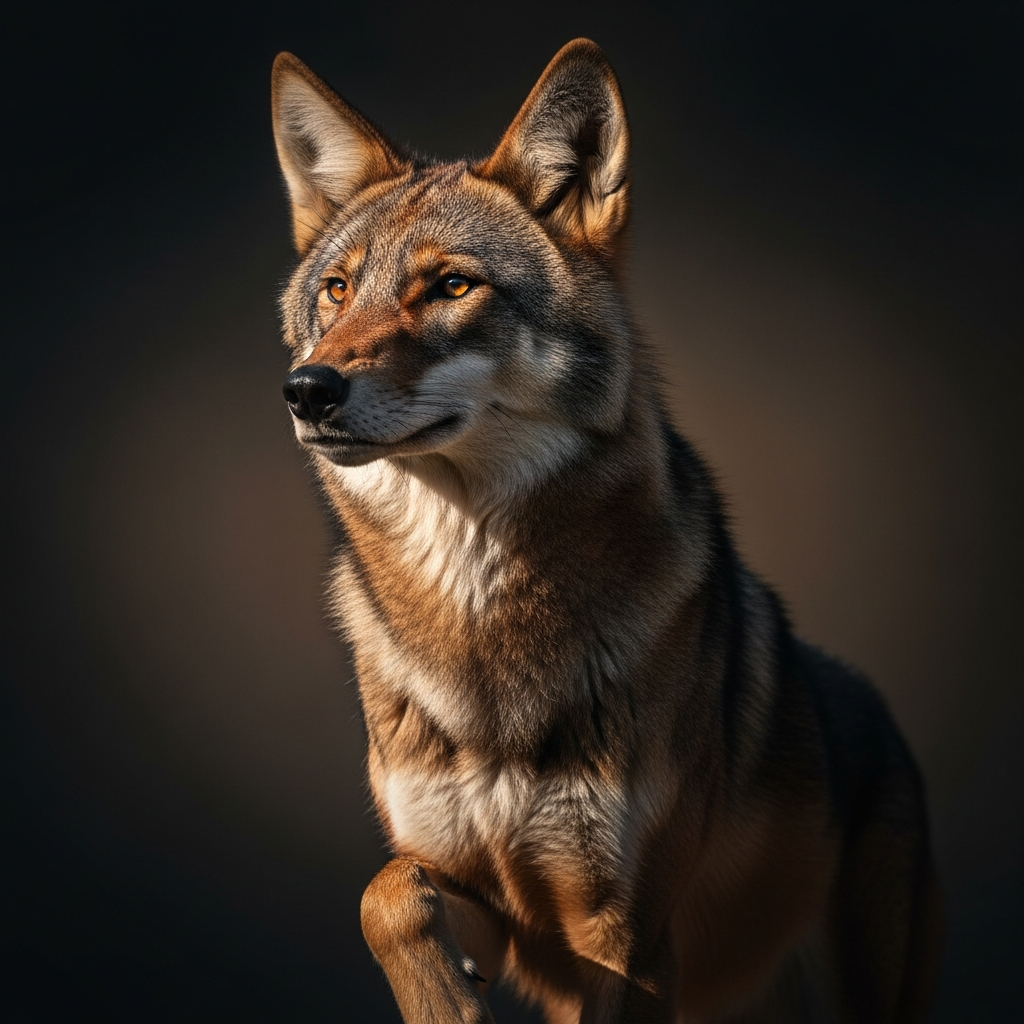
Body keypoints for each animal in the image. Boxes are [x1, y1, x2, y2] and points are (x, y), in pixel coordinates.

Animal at [270, 38, 940, 1024]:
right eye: (337, 290)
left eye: (452, 285)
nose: (308, 390)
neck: (479, 621)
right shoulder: (489, 905)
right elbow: (386, 893)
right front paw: (446, 1002)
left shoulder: (624, 936)